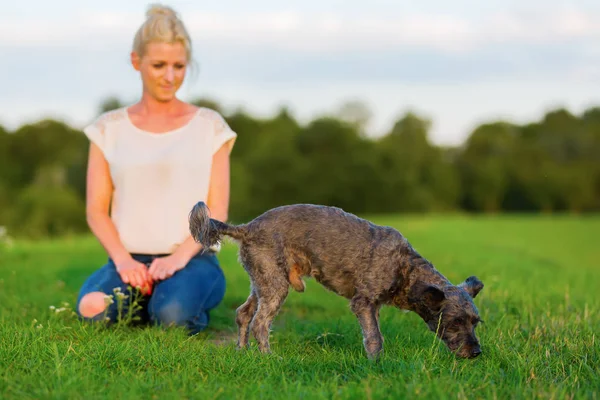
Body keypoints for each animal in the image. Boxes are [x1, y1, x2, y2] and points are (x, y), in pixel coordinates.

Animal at [190, 203, 486, 360]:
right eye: (455, 321)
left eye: (475, 322)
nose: (475, 352)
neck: (405, 268)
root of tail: (247, 228)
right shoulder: (363, 302)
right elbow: (375, 336)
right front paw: (376, 363)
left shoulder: (375, 305)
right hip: (275, 286)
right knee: (260, 323)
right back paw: (268, 357)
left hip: (264, 279)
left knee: (243, 313)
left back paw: (242, 351)